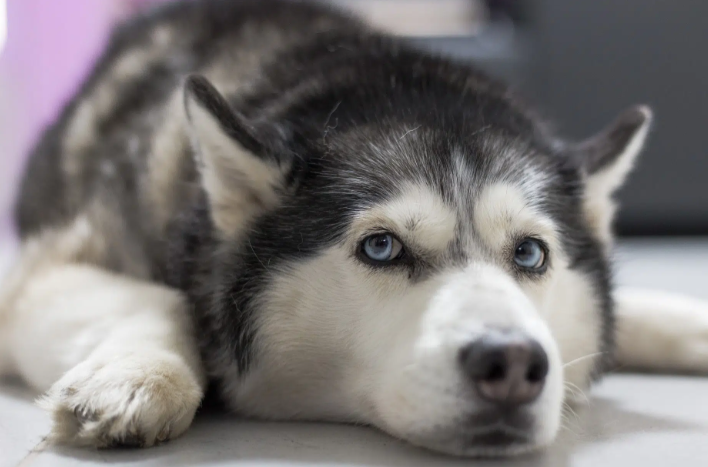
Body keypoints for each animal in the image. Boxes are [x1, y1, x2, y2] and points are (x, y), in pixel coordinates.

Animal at [1, 0, 708, 458]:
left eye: (530, 254)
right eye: (382, 246)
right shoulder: (38, 275)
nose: (511, 363)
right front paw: (137, 376)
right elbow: (163, 299)